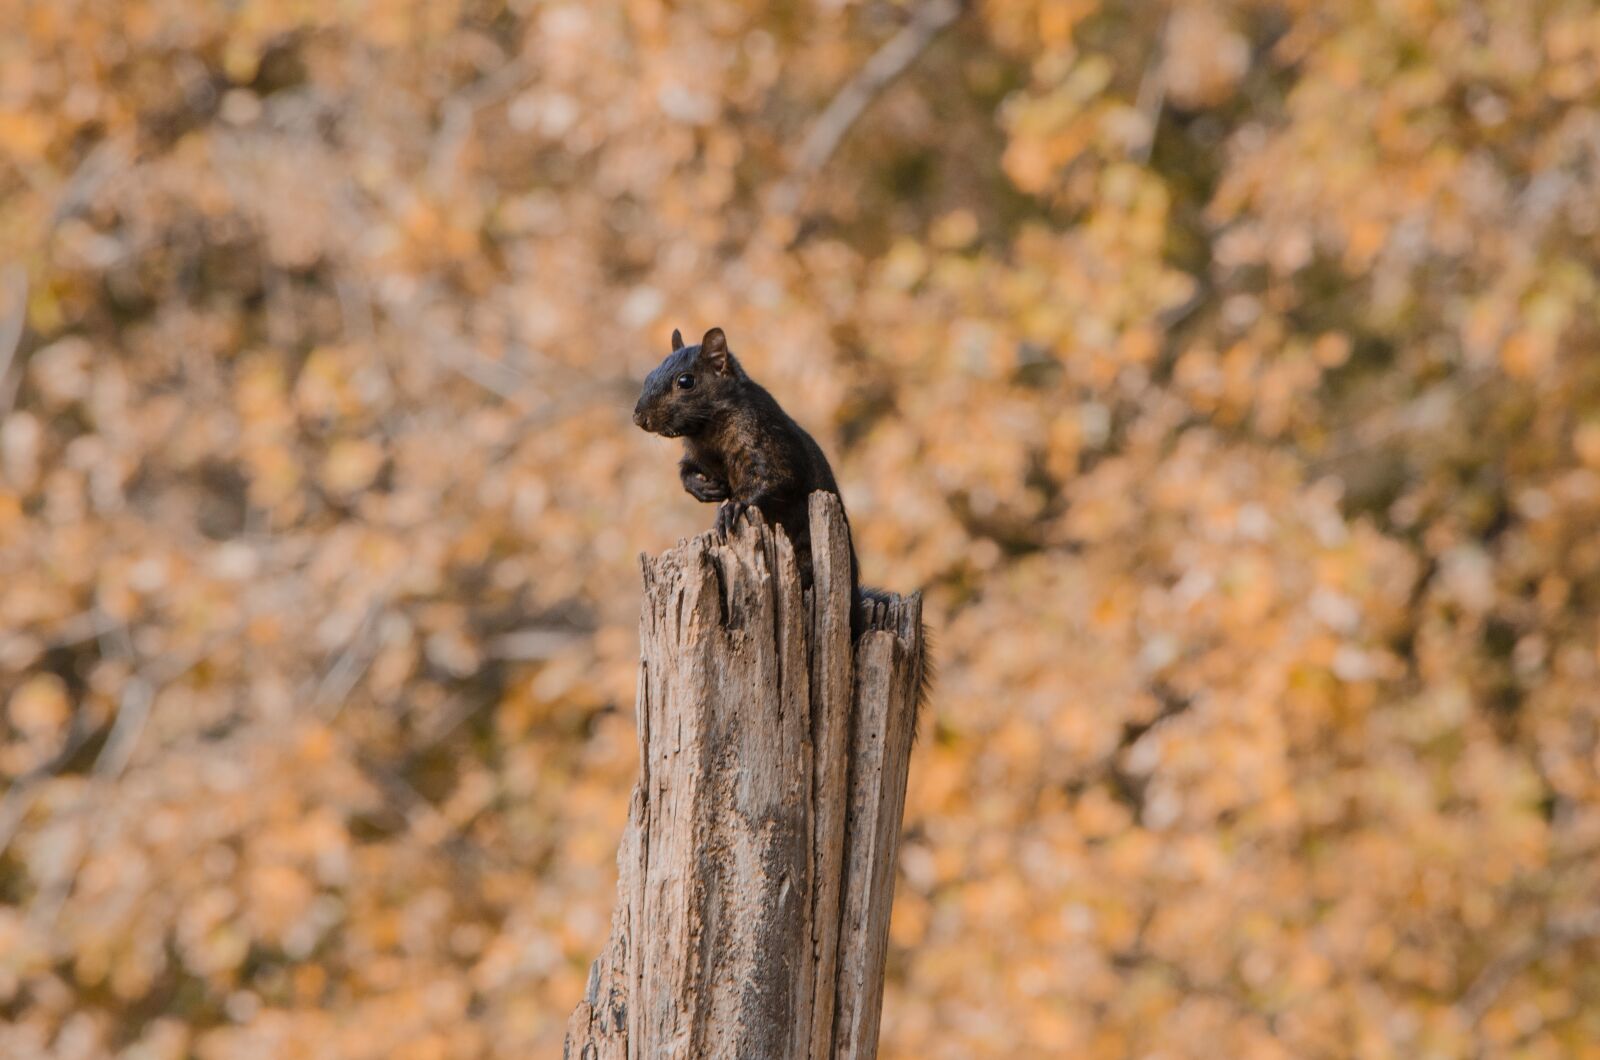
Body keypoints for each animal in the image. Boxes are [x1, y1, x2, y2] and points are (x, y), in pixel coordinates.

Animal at [633, 326, 930, 713]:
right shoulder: (698, 455)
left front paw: (732, 507)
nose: (640, 418)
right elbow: (685, 472)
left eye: (686, 381)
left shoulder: (770, 446)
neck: (707, 431)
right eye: (649, 375)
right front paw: (705, 489)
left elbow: (774, 481)